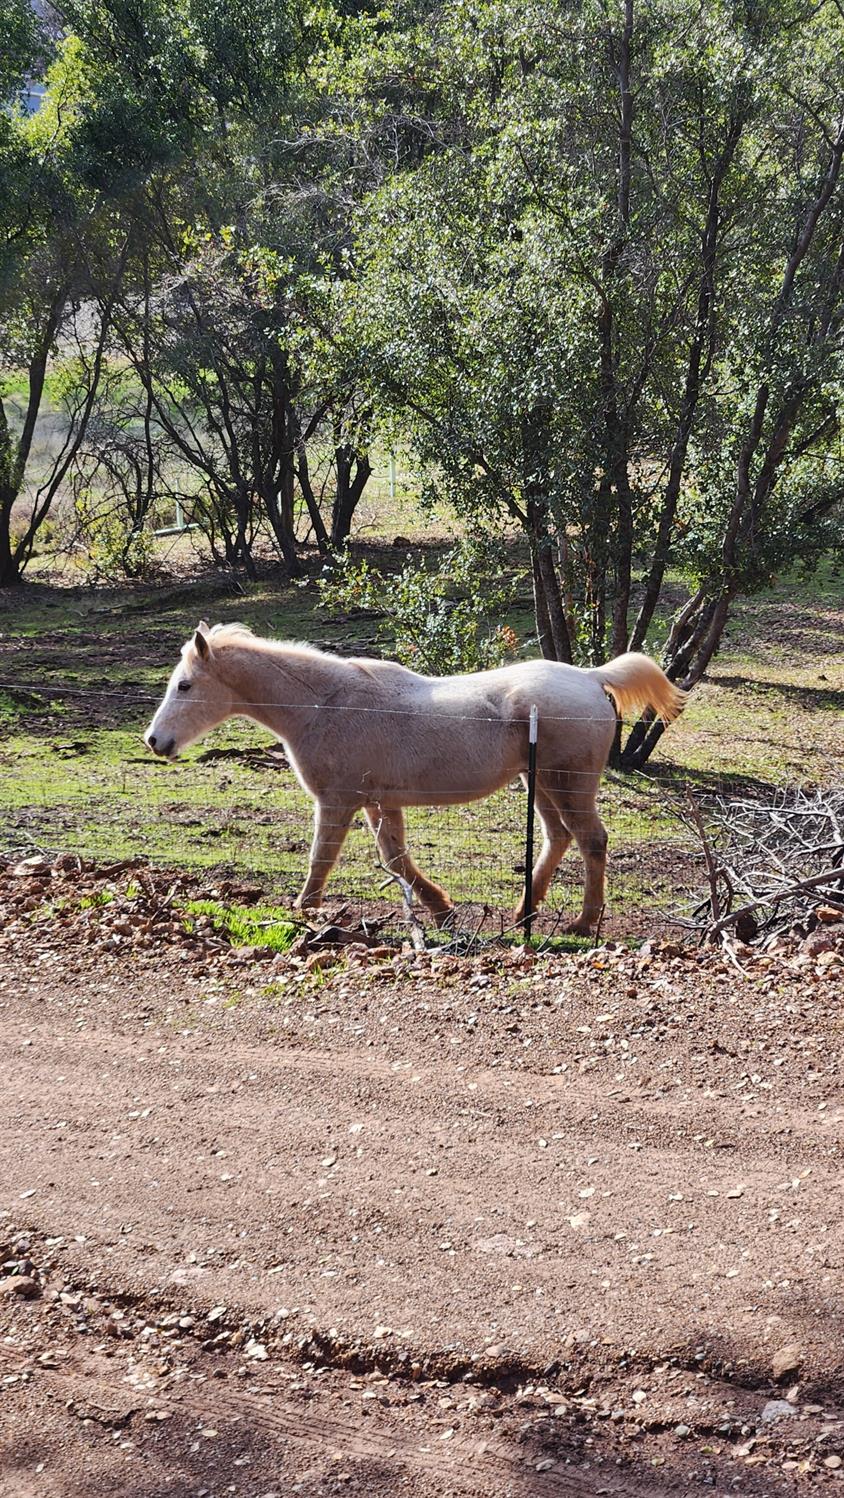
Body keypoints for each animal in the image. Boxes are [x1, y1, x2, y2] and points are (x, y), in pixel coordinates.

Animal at [145, 617, 686, 922]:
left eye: (186, 685)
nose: (155, 741)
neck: (325, 704)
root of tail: (592, 677)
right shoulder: (378, 803)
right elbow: (396, 859)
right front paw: (440, 908)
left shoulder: (336, 802)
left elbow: (322, 859)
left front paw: (304, 910)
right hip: (542, 785)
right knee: (559, 839)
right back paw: (524, 910)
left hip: (567, 785)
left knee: (592, 841)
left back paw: (583, 922)